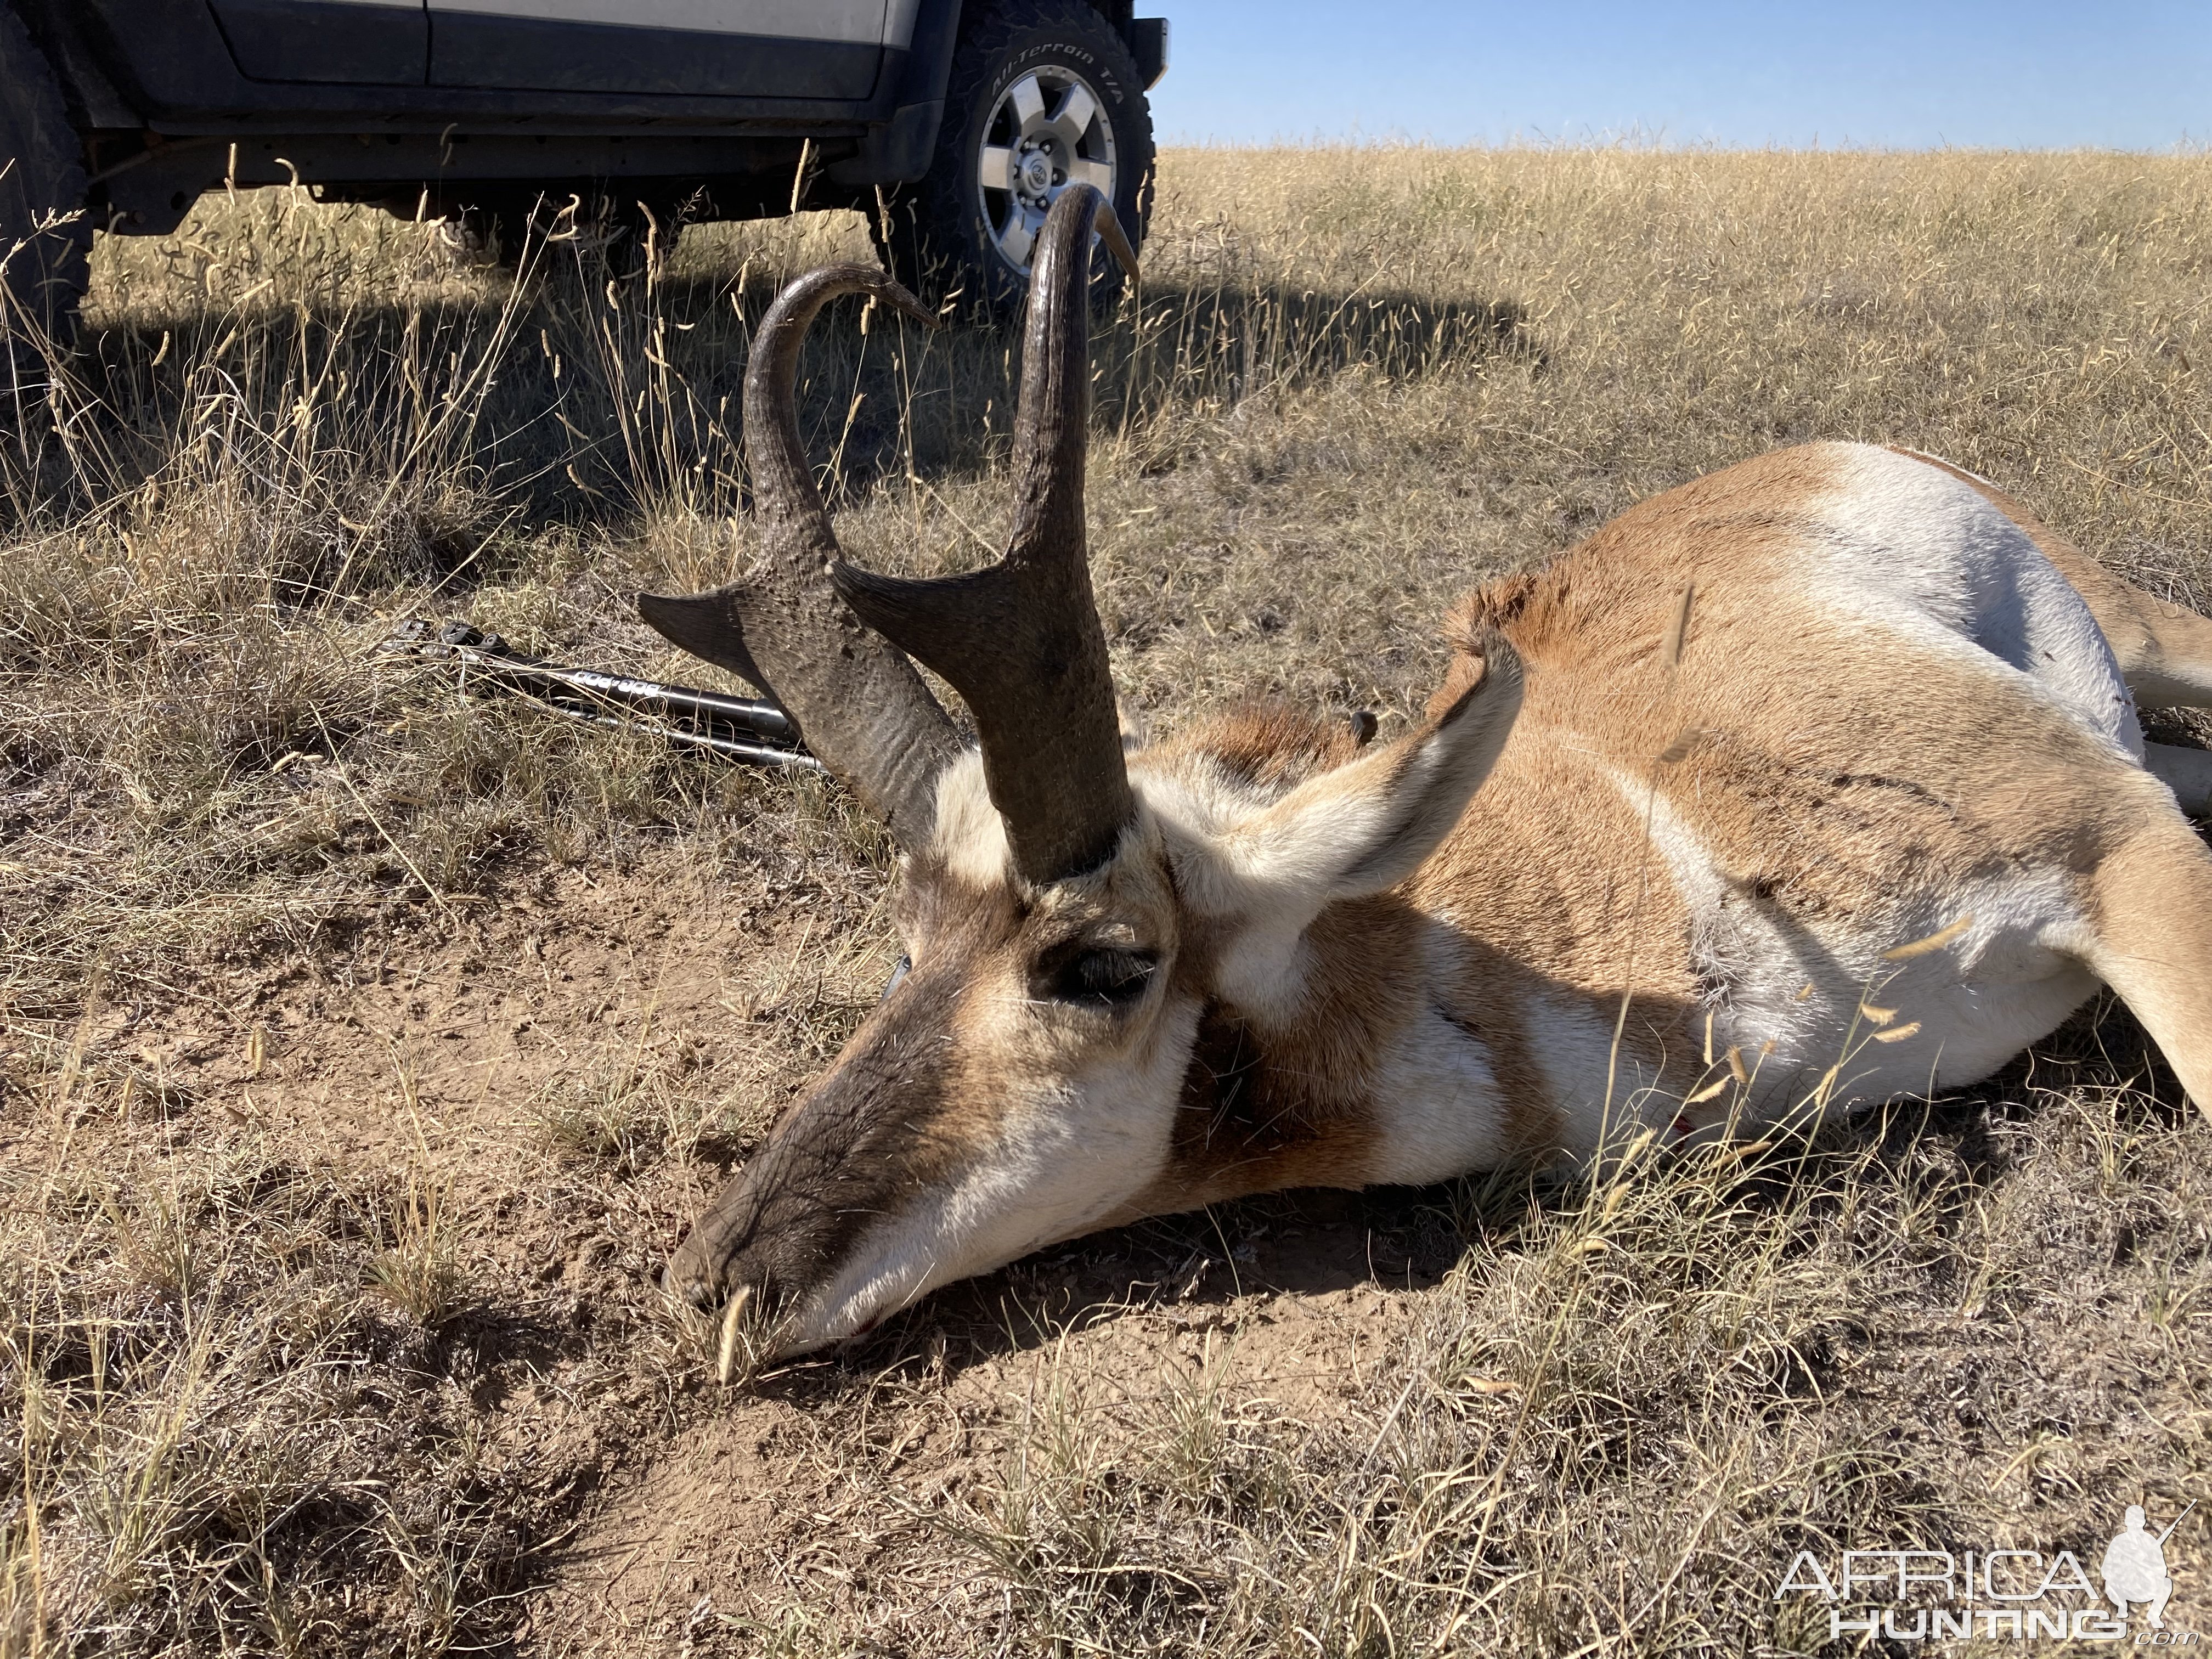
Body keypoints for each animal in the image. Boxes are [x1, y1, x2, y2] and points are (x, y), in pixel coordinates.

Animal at [637, 188, 2212, 1371]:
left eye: (1105, 966)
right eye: (906, 942)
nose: (714, 1277)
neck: (1628, 844)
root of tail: (1828, 452)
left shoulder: (2119, 846)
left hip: (2147, 646)